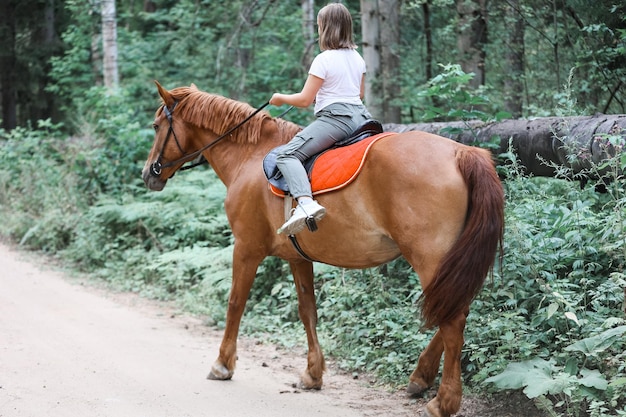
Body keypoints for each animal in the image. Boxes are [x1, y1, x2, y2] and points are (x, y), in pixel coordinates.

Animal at [141, 82, 502, 416]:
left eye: (157, 126)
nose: (148, 174)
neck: (251, 156)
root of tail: (462, 153)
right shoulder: (297, 257)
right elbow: (308, 311)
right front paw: (312, 374)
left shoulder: (245, 248)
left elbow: (235, 304)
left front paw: (222, 364)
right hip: (454, 261)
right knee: (456, 308)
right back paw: (421, 377)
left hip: (430, 258)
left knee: (452, 319)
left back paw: (443, 401)